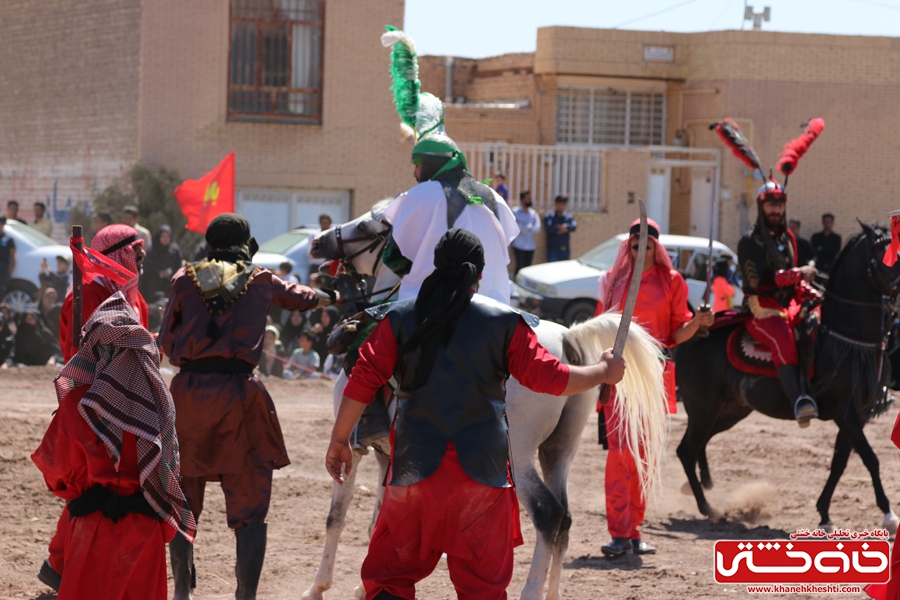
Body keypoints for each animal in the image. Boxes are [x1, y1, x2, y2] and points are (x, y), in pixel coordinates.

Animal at [304, 203, 668, 600]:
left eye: (366, 227)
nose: (318, 242)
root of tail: (567, 338)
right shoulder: (392, 456)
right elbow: (379, 522)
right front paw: (365, 586)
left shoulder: (354, 450)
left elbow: (336, 517)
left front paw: (318, 586)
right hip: (559, 450)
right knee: (565, 519)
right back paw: (551, 592)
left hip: (517, 455)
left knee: (548, 516)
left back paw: (530, 590)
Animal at [680, 223, 896, 532]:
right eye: (886, 253)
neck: (844, 337)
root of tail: (692, 333)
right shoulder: (845, 411)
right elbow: (870, 458)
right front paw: (888, 514)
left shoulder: (857, 414)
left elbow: (840, 463)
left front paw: (824, 514)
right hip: (703, 408)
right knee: (686, 450)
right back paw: (707, 508)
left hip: (731, 410)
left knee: (699, 444)